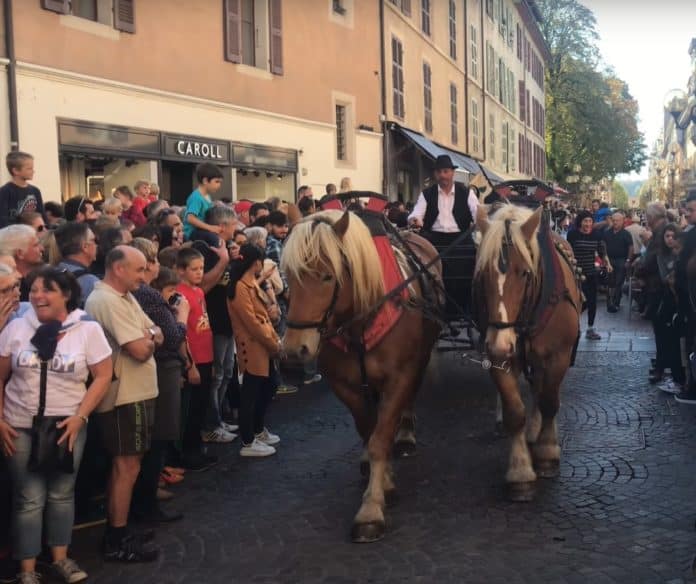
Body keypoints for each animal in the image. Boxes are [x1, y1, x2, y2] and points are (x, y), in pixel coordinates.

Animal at [282, 210, 440, 544]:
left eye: (327, 276)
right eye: (288, 274)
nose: (293, 349)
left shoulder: (400, 376)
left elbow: (381, 437)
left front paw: (371, 510)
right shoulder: (345, 386)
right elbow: (369, 433)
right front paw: (383, 481)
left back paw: (405, 434)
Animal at [474, 205, 580, 502]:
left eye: (523, 273)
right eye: (482, 273)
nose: (500, 343)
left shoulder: (558, 356)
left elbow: (550, 402)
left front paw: (546, 453)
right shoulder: (500, 358)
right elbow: (514, 412)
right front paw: (520, 471)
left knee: (544, 393)